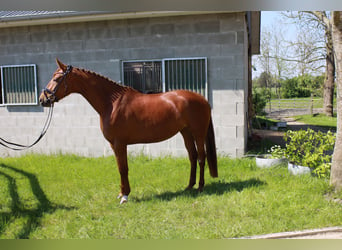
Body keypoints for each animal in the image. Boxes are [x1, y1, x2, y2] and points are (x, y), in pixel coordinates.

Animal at [38, 59, 218, 204]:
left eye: (57, 78)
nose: (42, 99)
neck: (112, 103)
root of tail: (202, 99)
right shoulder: (114, 145)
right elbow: (120, 167)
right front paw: (121, 193)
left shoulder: (119, 143)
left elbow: (123, 168)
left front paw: (125, 196)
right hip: (185, 132)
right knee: (192, 156)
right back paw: (189, 186)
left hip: (198, 132)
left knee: (201, 157)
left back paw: (200, 187)